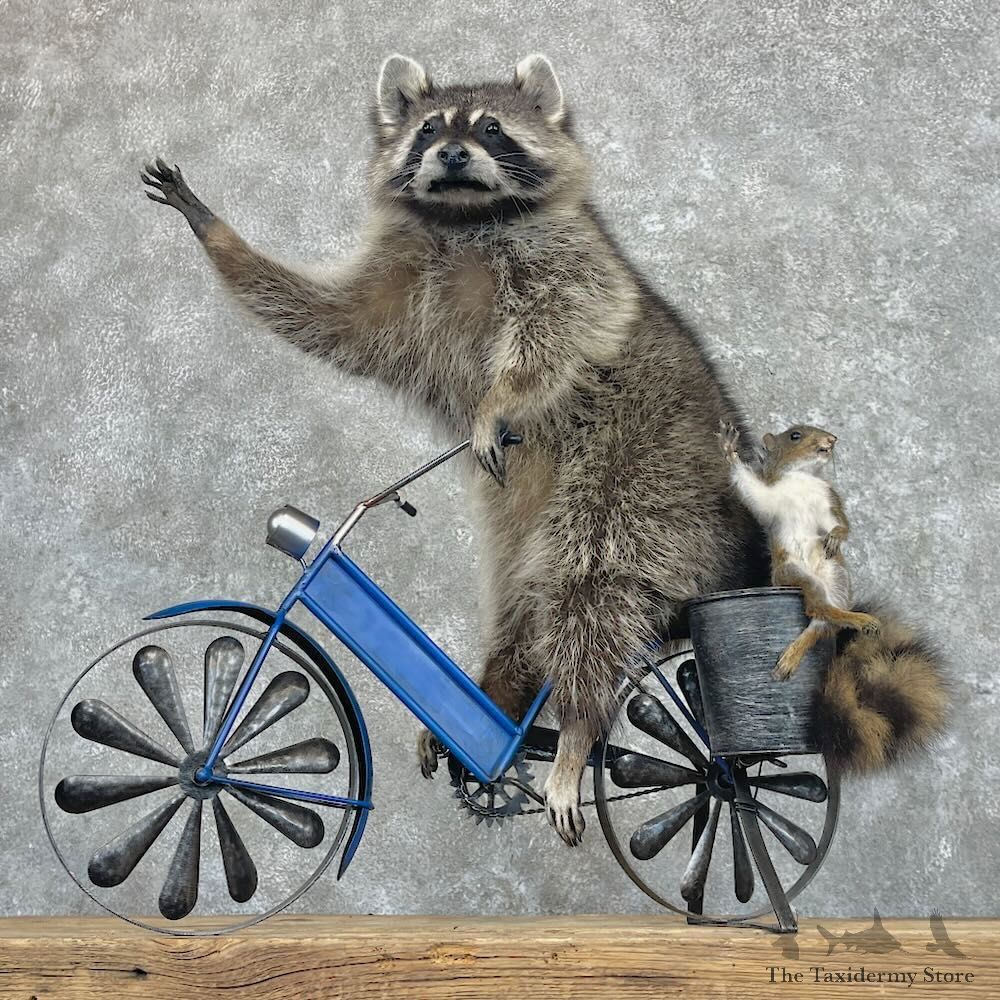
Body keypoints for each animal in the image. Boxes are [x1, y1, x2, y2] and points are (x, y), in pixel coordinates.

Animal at [142, 53, 770, 845]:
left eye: (492, 128)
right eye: (429, 128)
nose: (450, 152)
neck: (465, 217)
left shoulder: (572, 257)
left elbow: (567, 323)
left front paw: (500, 399)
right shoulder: (399, 287)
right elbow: (325, 322)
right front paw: (215, 231)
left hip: (642, 478)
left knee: (591, 588)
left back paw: (575, 728)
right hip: (531, 514)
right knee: (520, 603)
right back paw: (498, 691)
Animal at [717, 421, 881, 679]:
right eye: (795, 436)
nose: (832, 439)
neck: (803, 476)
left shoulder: (828, 500)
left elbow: (839, 523)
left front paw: (837, 536)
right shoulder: (771, 499)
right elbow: (753, 494)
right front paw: (729, 448)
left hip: (837, 576)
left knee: (823, 623)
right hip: (793, 574)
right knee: (818, 607)